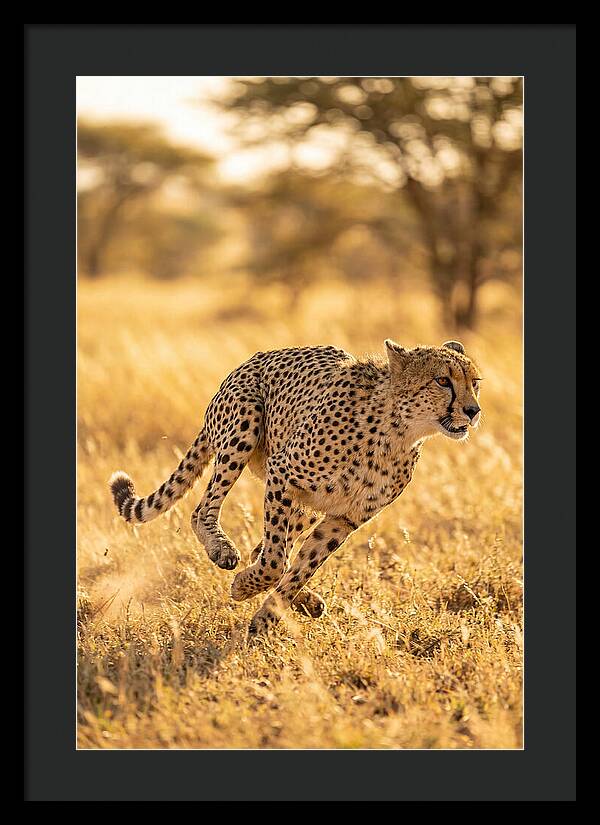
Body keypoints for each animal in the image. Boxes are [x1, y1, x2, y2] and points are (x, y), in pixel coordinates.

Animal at [109, 339, 482, 637]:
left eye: (474, 383)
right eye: (442, 381)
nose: (473, 410)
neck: (398, 432)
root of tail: (252, 360)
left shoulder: (344, 518)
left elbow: (301, 566)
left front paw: (267, 616)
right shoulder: (283, 475)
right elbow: (275, 561)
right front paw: (244, 587)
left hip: (306, 506)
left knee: (265, 548)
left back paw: (306, 601)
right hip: (245, 425)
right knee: (204, 511)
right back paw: (222, 550)